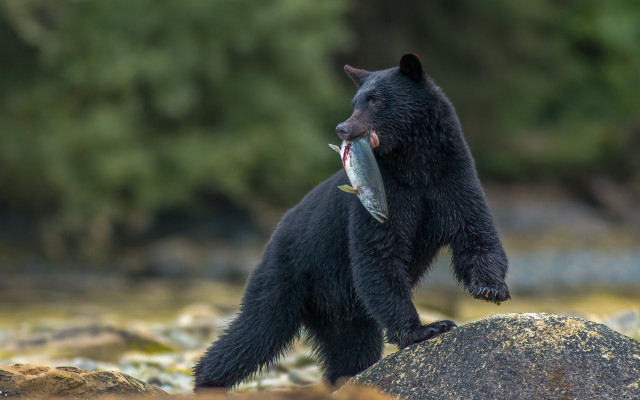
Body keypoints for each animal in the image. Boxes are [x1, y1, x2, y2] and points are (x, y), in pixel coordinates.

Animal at [193, 53, 510, 390]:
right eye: (355, 102)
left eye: (375, 100)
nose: (343, 128)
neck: (415, 165)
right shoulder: (382, 197)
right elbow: (378, 254)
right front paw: (425, 328)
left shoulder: (452, 179)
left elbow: (475, 232)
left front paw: (489, 288)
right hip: (286, 275)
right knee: (256, 330)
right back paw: (207, 380)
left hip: (345, 314)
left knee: (351, 352)